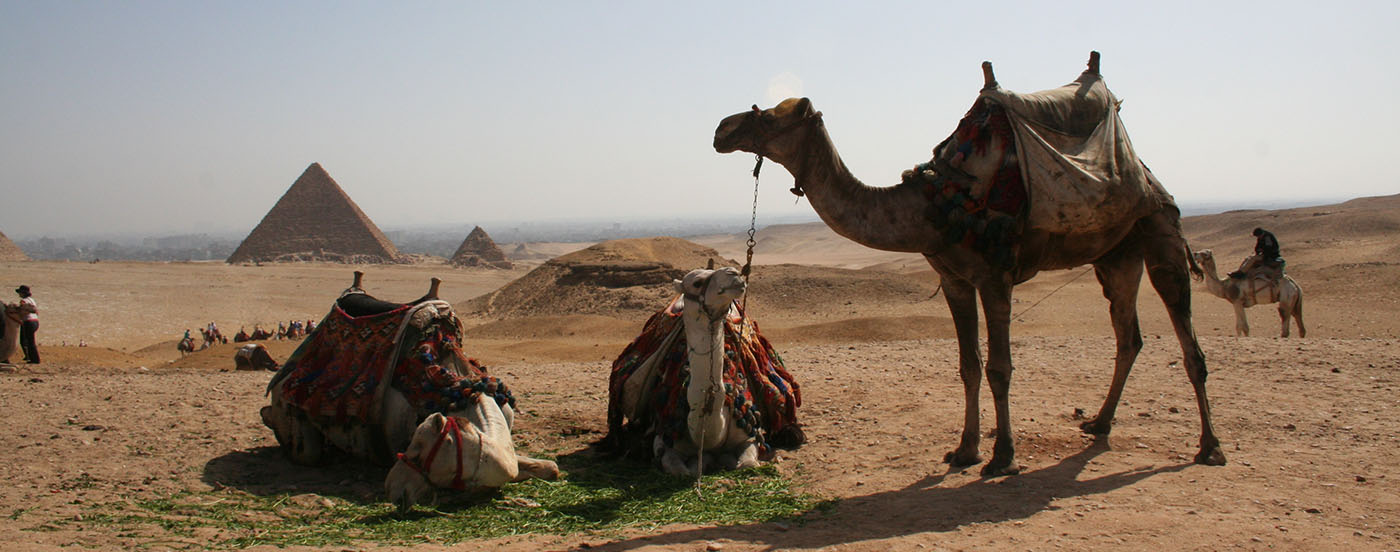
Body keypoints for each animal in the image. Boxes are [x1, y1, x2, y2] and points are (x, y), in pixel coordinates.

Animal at [716, 51, 1220, 473]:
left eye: (766, 116)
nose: (721, 129)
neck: (934, 206)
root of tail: (1149, 178)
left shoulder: (996, 277)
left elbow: (1000, 368)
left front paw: (1003, 456)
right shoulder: (956, 279)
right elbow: (969, 366)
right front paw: (964, 450)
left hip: (1159, 231)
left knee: (1188, 341)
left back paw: (1210, 447)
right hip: (1116, 255)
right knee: (1128, 334)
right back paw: (1099, 423)